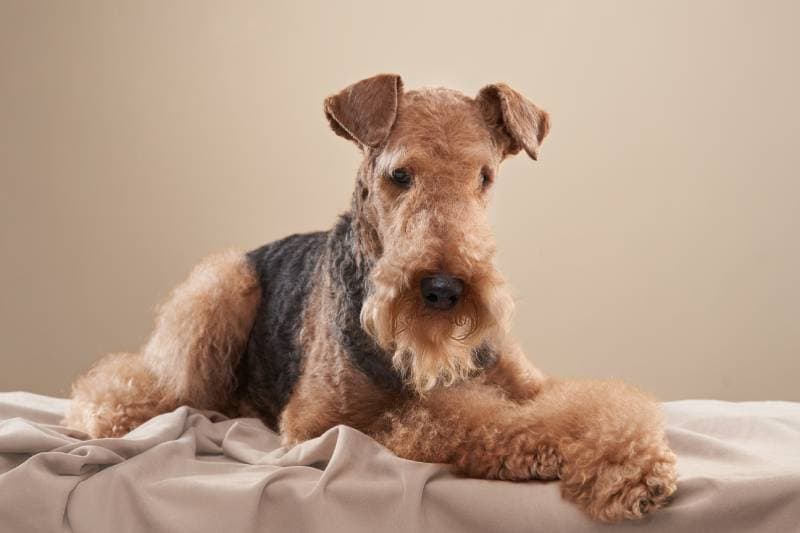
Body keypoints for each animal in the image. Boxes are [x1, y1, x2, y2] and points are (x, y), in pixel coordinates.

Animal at [65, 74, 676, 520]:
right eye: (399, 175)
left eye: (484, 177)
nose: (444, 289)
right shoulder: (322, 424)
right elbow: (466, 420)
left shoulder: (529, 385)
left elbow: (591, 404)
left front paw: (638, 467)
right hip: (218, 293)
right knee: (129, 386)